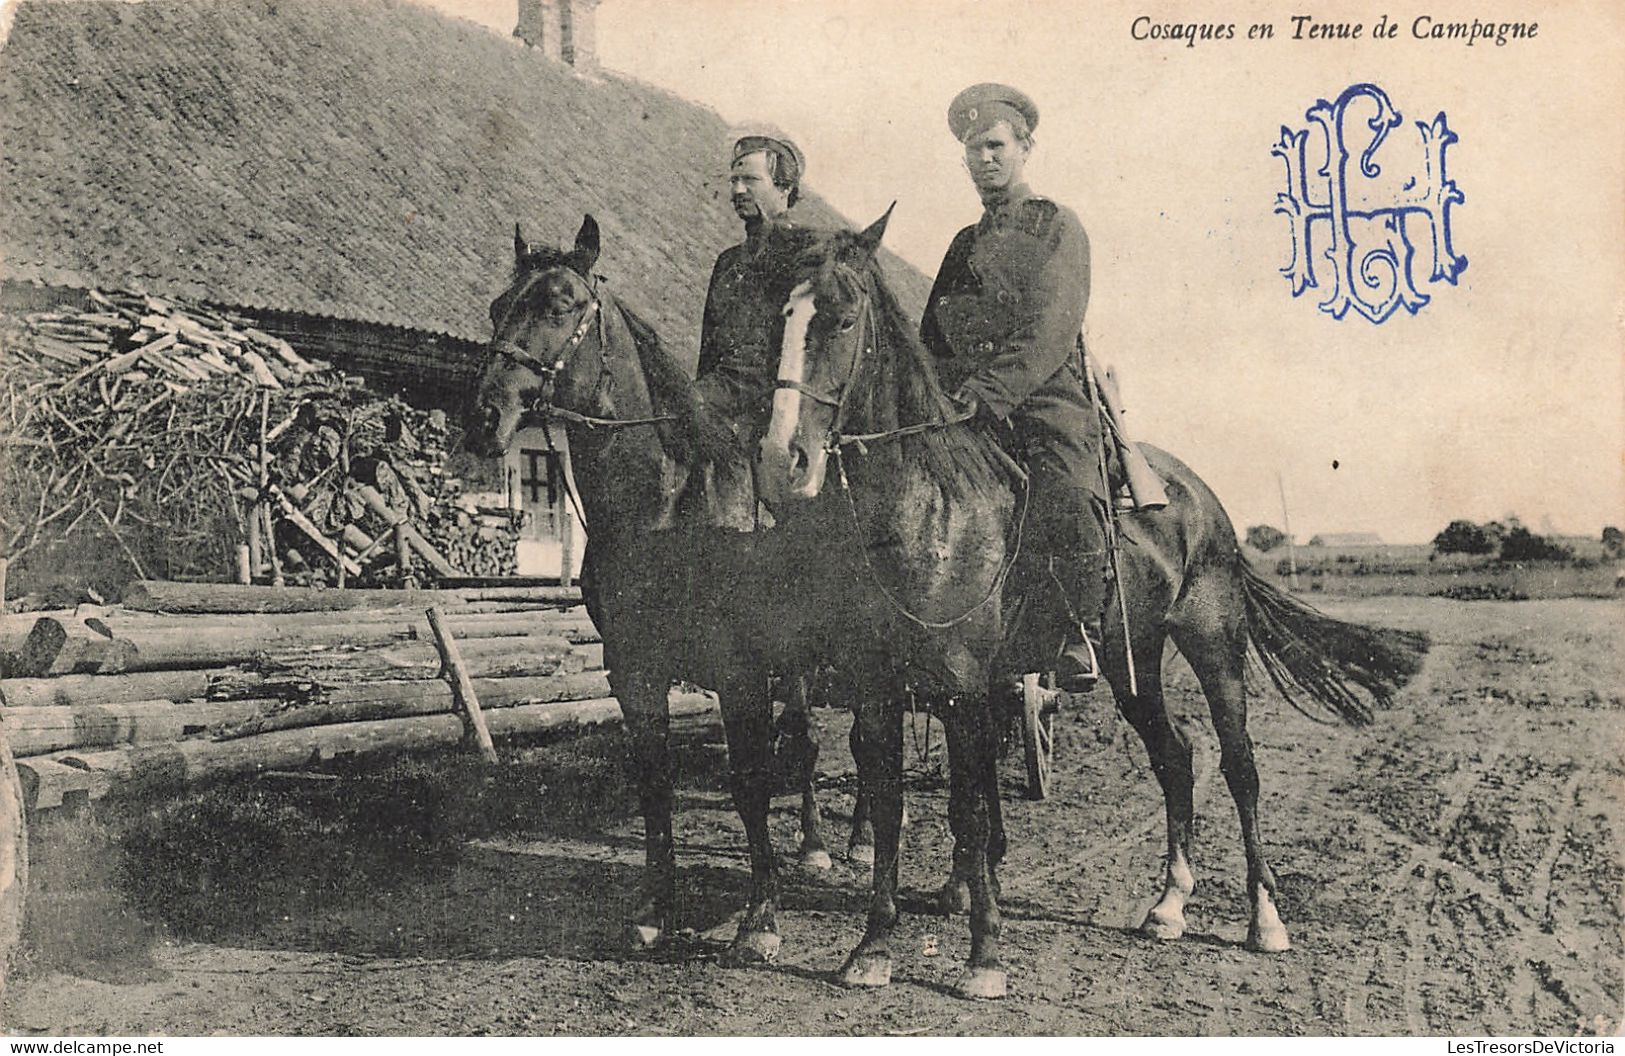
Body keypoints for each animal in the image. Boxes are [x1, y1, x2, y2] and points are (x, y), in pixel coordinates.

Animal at [747, 207, 1423, 994]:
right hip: (1133, 657)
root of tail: (1202, 499)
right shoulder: (879, 686)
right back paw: (1169, 904)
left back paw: (1264, 919)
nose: (780, 460)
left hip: (1213, 645)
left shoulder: (964, 684)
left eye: (844, 318)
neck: (931, 504)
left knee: (1238, 765)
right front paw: (875, 945)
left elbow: (970, 805)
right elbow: (889, 802)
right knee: (1175, 756)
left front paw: (984, 954)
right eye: (777, 318)